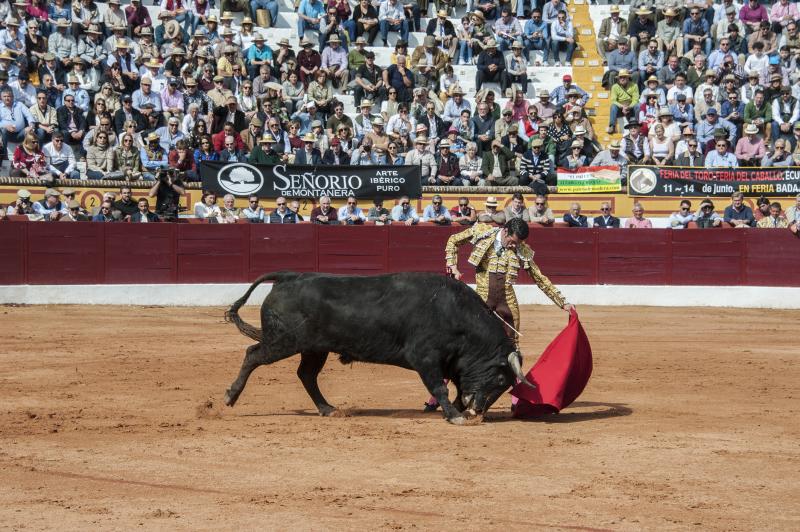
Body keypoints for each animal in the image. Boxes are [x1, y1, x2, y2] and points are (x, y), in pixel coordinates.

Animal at [222, 272, 536, 422]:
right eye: (500, 379)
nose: (478, 411)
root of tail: (290, 277)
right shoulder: (426, 358)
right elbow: (440, 388)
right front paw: (455, 415)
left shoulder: (452, 363)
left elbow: (455, 388)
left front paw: (457, 411)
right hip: (284, 342)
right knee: (253, 355)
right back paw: (229, 396)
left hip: (314, 349)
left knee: (307, 375)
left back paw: (328, 409)